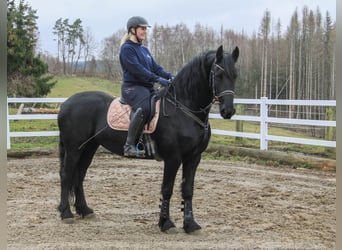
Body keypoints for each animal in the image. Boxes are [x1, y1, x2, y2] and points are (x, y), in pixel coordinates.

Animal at [57, 44, 239, 232]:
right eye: (218, 75)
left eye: (235, 75)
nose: (228, 111)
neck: (184, 109)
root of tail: (65, 104)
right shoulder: (173, 157)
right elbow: (167, 189)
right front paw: (166, 223)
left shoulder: (194, 157)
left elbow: (188, 189)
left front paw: (190, 224)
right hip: (74, 148)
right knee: (66, 175)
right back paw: (66, 213)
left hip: (89, 147)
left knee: (79, 175)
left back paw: (84, 210)